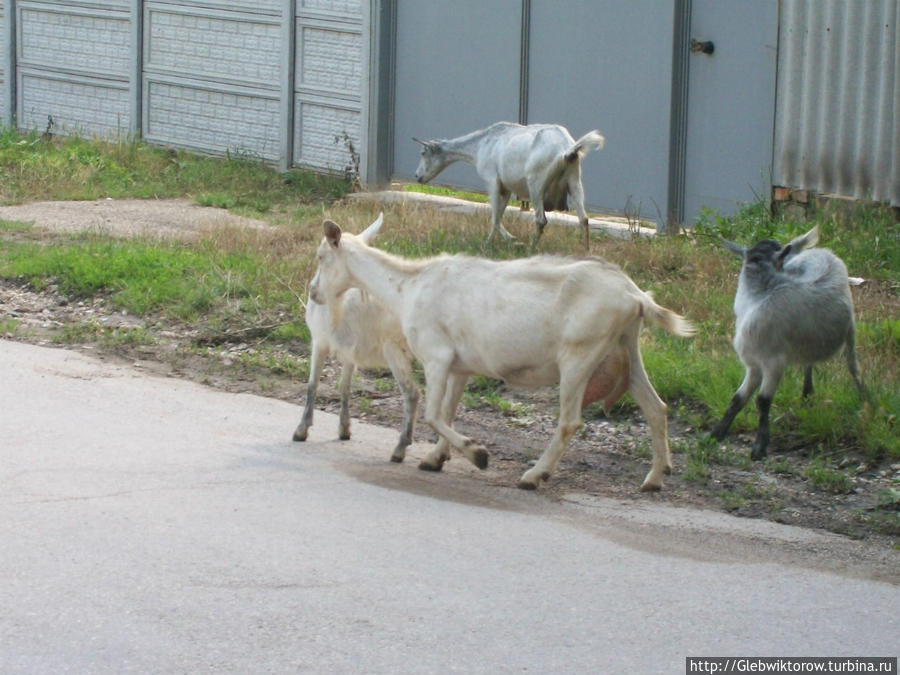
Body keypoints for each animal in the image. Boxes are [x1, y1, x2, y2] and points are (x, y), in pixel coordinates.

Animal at [296, 214, 422, 462]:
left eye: (320, 256)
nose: (313, 292)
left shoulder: (319, 339)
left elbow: (312, 384)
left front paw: (301, 430)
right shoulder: (349, 349)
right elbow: (344, 386)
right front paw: (344, 429)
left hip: (394, 347)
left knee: (412, 393)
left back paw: (400, 449)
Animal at [310, 217, 696, 492]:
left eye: (322, 257)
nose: (313, 292)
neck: (408, 287)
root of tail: (635, 296)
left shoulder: (436, 357)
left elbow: (434, 415)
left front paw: (478, 454)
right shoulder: (459, 367)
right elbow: (447, 413)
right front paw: (435, 458)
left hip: (580, 355)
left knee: (570, 420)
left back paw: (534, 475)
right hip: (625, 348)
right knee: (656, 408)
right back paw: (654, 479)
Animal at [414, 122, 604, 248]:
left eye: (423, 153)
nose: (417, 176)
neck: (481, 144)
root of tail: (567, 149)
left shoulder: (492, 182)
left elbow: (494, 218)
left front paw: (512, 240)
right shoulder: (506, 189)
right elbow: (497, 217)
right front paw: (489, 243)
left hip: (536, 185)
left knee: (541, 220)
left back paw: (530, 248)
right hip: (574, 181)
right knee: (584, 219)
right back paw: (586, 254)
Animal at [712, 227, 864, 460]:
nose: (786, 250)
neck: (759, 297)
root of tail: (823, 251)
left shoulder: (774, 363)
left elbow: (762, 401)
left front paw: (759, 446)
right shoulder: (754, 364)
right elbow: (738, 398)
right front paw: (717, 432)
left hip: (850, 328)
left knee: (852, 365)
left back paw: (865, 398)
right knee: (810, 361)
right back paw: (807, 393)